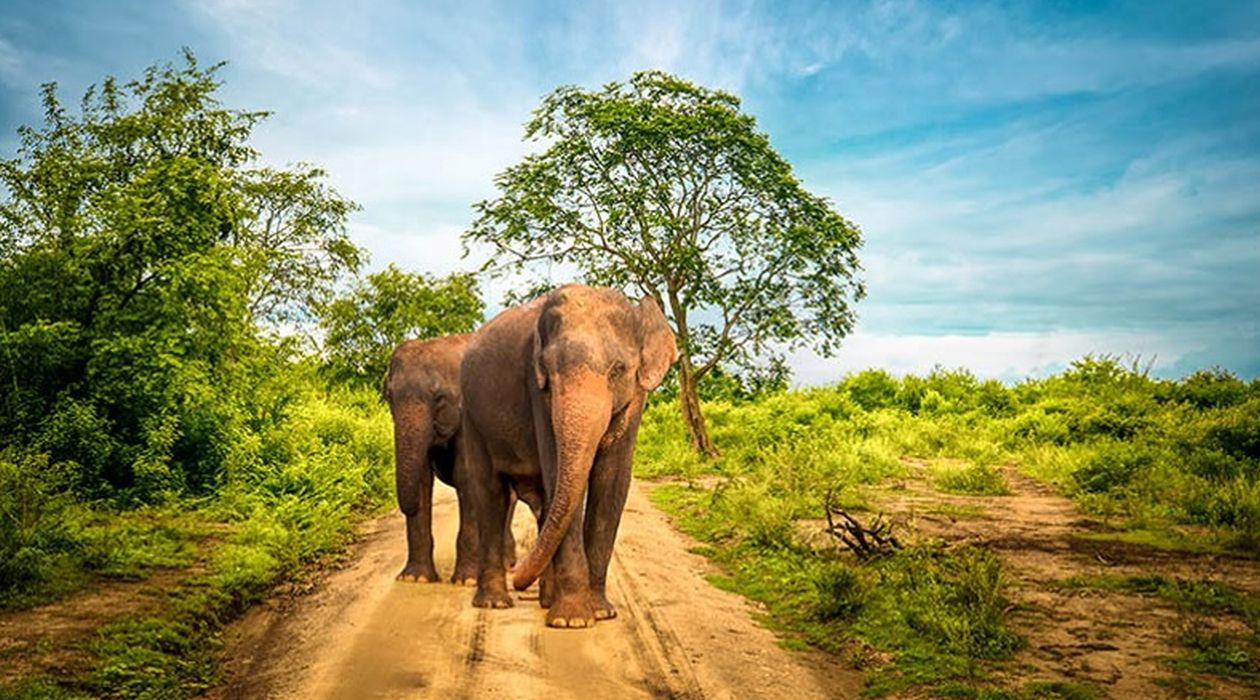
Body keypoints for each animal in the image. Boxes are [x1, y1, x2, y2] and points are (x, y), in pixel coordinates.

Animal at [384, 334, 518, 585]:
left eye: (439, 398)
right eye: (389, 396)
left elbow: (466, 476)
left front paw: (468, 581)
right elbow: (423, 479)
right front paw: (414, 579)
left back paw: (506, 565)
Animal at [460, 284, 677, 628]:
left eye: (618, 370)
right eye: (547, 371)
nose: (519, 580)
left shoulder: (636, 397)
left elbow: (612, 481)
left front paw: (600, 611)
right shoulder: (536, 390)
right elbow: (557, 471)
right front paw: (571, 620)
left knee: (544, 503)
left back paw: (546, 600)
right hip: (472, 418)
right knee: (491, 491)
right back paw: (495, 603)